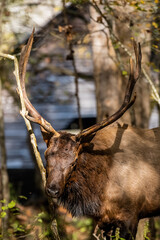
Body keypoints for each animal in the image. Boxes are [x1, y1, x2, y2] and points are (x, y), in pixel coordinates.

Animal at [18, 30, 160, 240]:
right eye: (47, 154)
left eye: (74, 161)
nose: (52, 189)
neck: (99, 195)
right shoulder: (103, 220)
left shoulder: (131, 214)